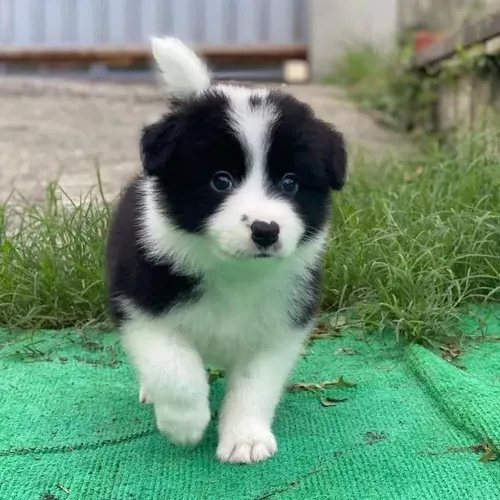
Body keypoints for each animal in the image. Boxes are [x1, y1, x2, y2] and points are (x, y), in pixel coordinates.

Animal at [105, 37, 348, 462]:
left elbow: (255, 383)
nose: (266, 230)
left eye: (290, 183)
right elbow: (174, 367)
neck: (235, 274)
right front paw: (184, 423)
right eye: (221, 181)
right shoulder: (139, 305)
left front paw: (245, 438)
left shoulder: (282, 324)